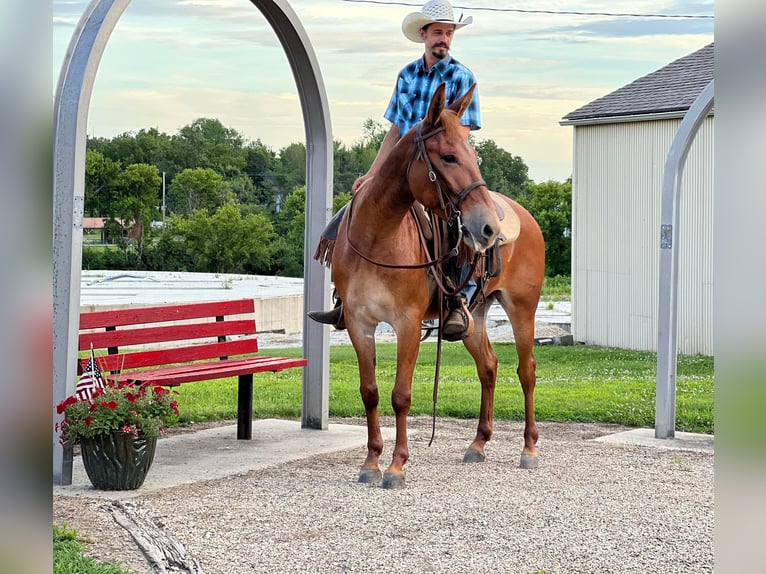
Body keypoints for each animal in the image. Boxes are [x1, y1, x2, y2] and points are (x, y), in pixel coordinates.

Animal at [318, 84, 544, 490]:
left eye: (472, 154)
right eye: (449, 157)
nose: (487, 228)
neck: (378, 236)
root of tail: (526, 218)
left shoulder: (407, 323)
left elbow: (401, 395)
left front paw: (396, 466)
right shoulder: (360, 323)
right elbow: (370, 392)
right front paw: (371, 462)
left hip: (522, 308)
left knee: (526, 370)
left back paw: (529, 448)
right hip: (474, 317)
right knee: (488, 366)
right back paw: (478, 444)